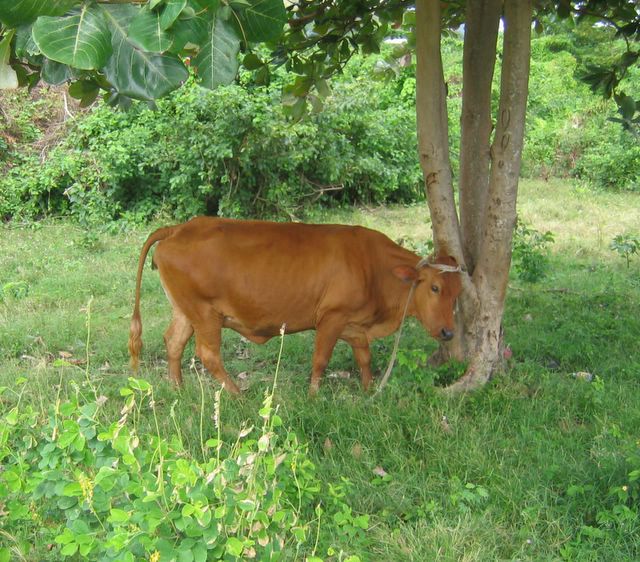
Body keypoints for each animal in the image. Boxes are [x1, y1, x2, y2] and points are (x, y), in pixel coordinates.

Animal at [130, 217, 460, 392]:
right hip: (205, 313)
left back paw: (177, 388)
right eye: (434, 287)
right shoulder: (331, 317)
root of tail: (180, 227)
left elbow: (364, 357)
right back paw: (237, 395)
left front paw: (368, 390)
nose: (448, 332)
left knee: (173, 342)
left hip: (186, 311)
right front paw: (314, 396)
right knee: (208, 355)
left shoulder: (354, 324)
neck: (373, 266)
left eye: (457, 293)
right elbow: (321, 360)